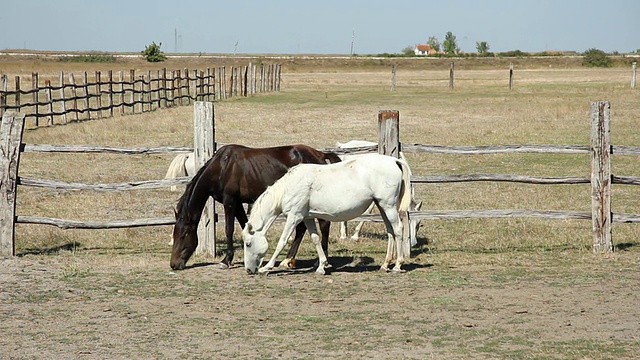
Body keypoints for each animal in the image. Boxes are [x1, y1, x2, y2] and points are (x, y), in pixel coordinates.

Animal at [169, 143, 340, 270]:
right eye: (174, 234)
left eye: (184, 234)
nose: (174, 264)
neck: (222, 168)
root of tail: (319, 154)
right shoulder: (238, 203)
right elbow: (245, 226)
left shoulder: (230, 201)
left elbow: (229, 229)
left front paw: (226, 260)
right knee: (302, 228)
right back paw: (288, 260)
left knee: (323, 224)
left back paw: (321, 261)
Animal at [242, 153, 412, 274]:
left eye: (248, 243)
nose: (249, 270)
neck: (289, 186)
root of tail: (394, 161)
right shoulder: (307, 217)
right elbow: (316, 239)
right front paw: (321, 266)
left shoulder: (294, 217)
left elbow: (282, 242)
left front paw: (267, 267)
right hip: (382, 206)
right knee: (390, 231)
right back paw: (385, 264)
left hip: (388, 206)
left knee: (398, 230)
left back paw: (398, 265)